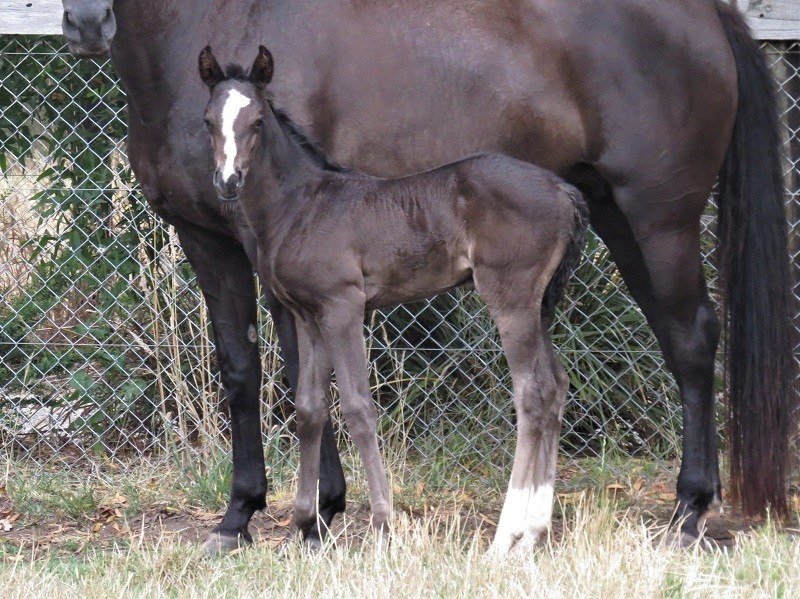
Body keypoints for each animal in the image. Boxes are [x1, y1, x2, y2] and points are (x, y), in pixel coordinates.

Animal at [200, 48, 588, 556]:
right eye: (208, 120)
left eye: (258, 121)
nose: (227, 181)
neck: (300, 207)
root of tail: (564, 190)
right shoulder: (308, 315)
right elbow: (309, 409)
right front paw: (306, 524)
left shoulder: (343, 307)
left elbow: (358, 408)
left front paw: (384, 525)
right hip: (538, 303)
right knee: (557, 385)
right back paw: (533, 535)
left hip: (511, 297)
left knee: (533, 393)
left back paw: (505, 538)